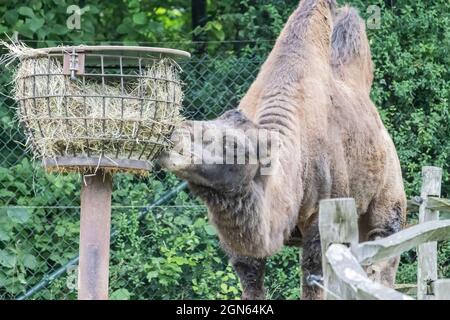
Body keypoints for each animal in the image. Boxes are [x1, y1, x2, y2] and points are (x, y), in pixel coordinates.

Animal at [159, 0, 408, 300]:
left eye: (233, 145)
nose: (172, 138)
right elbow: (250, 274)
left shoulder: (323, 215)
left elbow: (313, 275)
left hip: (388, 192)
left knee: (384, 250)